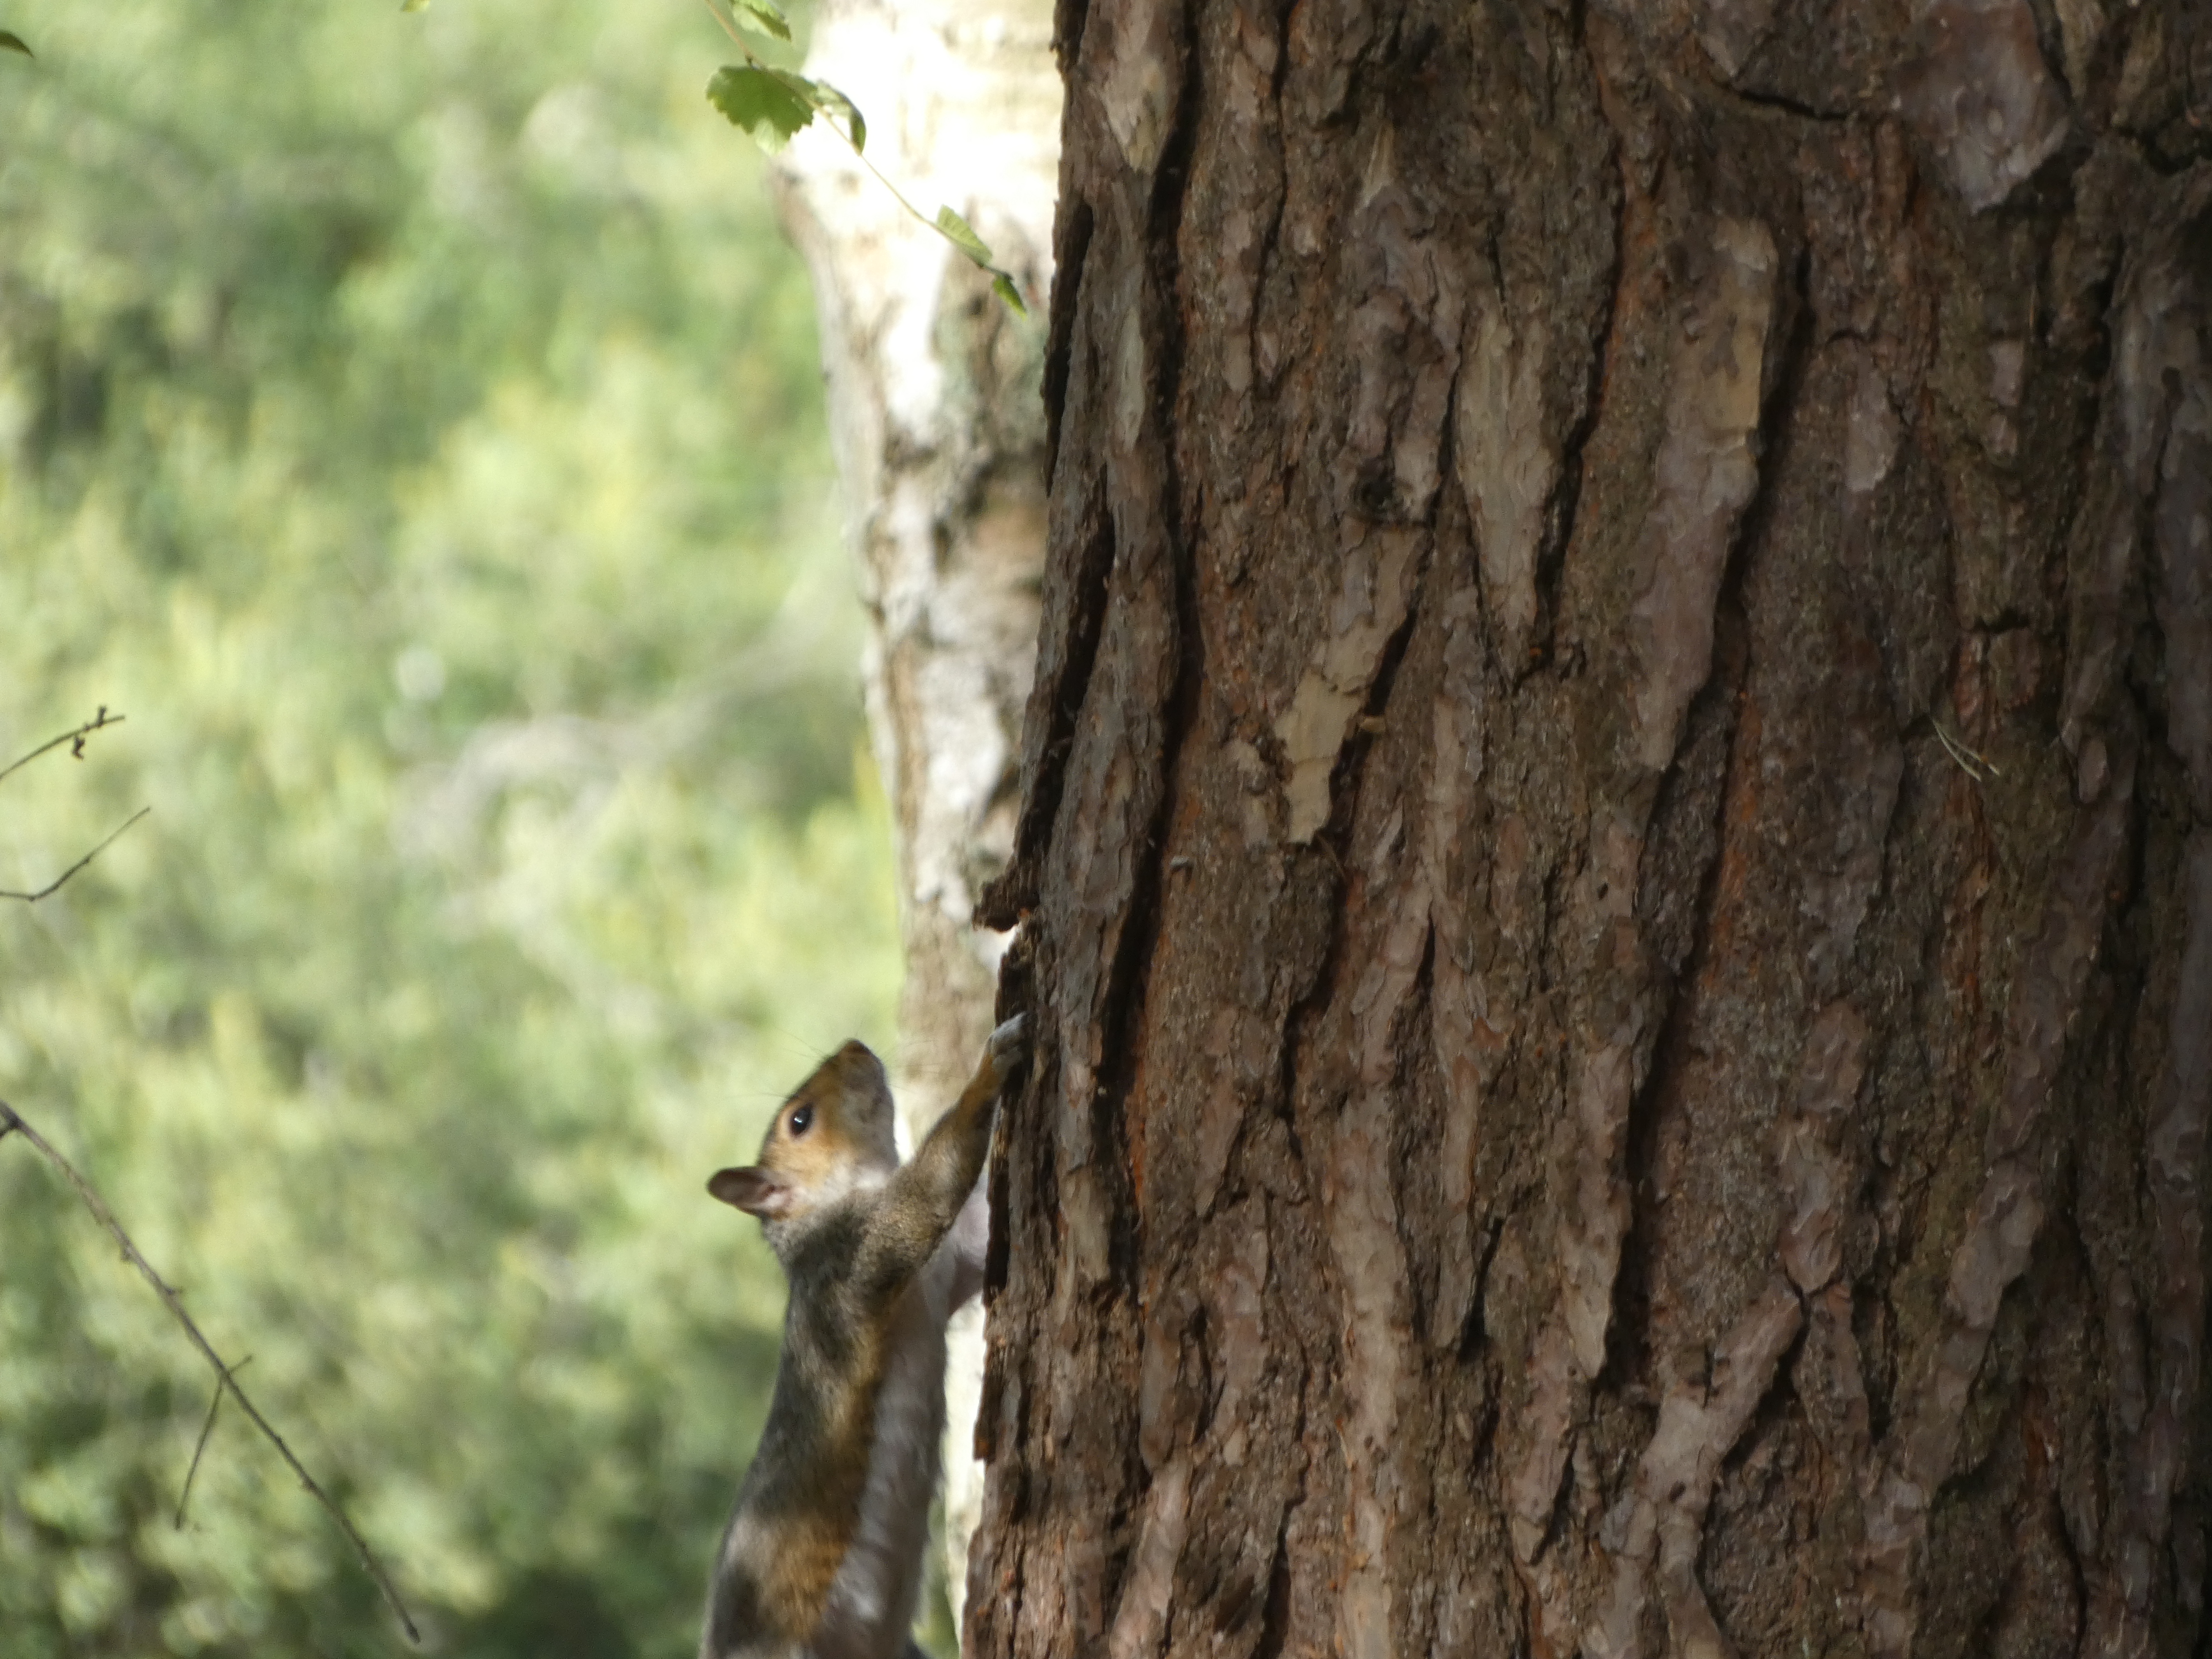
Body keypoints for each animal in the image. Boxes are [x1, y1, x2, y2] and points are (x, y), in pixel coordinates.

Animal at [698, 1015, 1026, 1659]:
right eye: (800, 1121)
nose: (854, 1046)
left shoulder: (954, 1264)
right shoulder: (854, 1256)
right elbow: (928, 1196)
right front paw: (988, 1071)